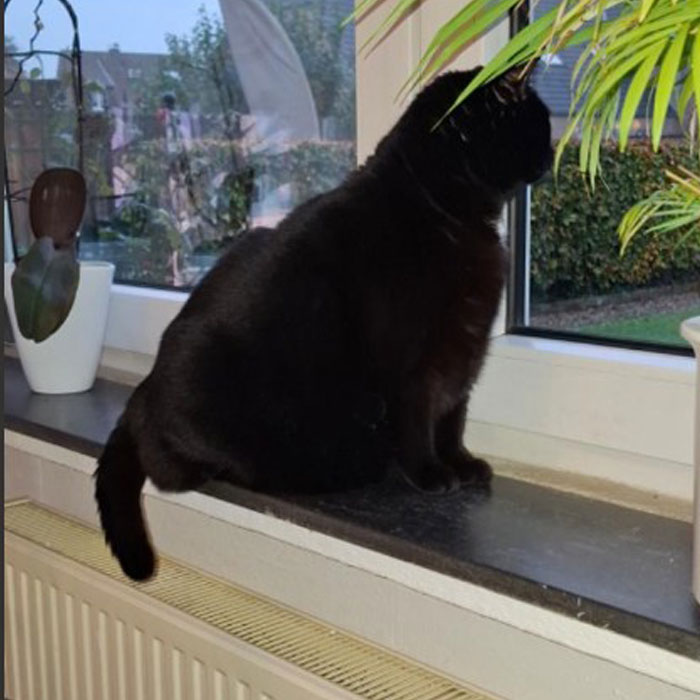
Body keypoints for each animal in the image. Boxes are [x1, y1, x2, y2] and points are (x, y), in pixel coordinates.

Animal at [95, 66, 553, 581]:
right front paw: (431, 474)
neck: (440, 208)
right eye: (540, 120)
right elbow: (419, 424)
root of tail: (140, 393)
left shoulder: (462, 355)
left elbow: (452, 420)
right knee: (170, 470)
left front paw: (462, 464)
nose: (555, 148)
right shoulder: (414, 368)